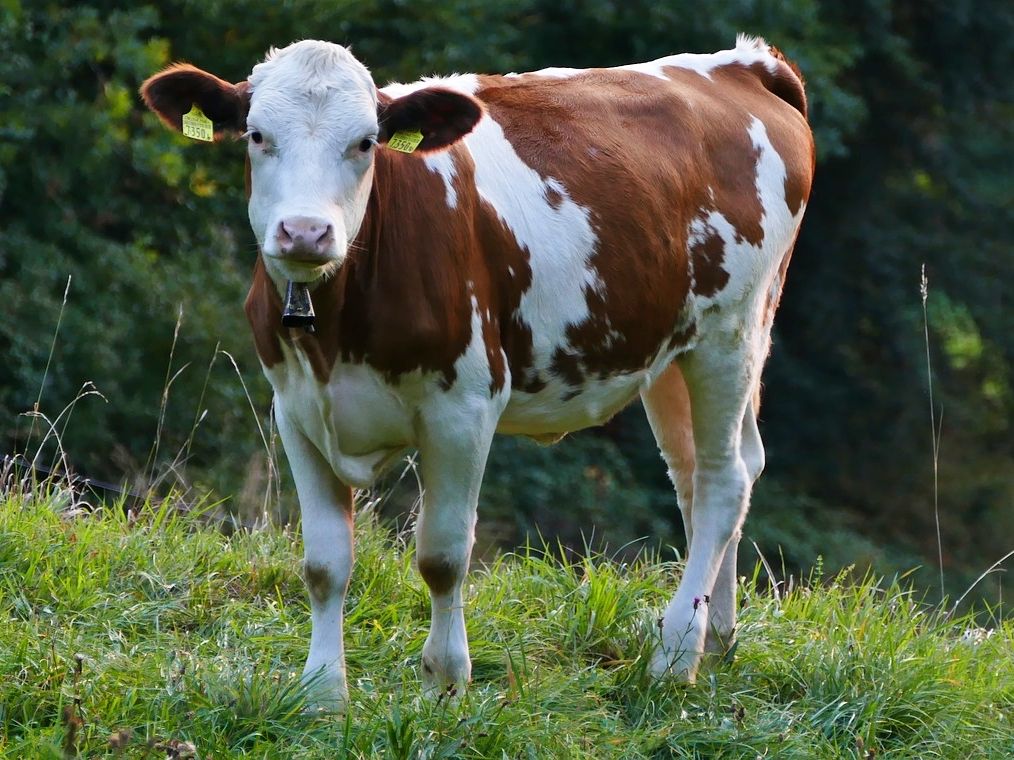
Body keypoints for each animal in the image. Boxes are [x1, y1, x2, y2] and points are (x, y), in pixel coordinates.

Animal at [140, 34, 814, 708]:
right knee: (698, 475)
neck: (336, 331)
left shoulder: (464, 405)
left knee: (725, 480)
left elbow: (442, 555)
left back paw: (675, 654)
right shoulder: (296, 408)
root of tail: (741, 64)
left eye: (366, 142)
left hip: (733, 332)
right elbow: (325, 563)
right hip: (670, 352)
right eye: (257, 135)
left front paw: (445, 680)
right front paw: (322, 692)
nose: (305, 232)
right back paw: (716, 636)